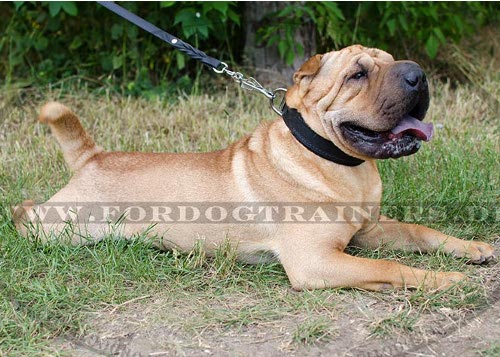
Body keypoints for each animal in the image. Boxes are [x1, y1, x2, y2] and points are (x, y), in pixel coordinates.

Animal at [13, 44, 494, 290]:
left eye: (393, 62)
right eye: (357, 74)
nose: (417, 74)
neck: (335, 161)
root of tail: (92, 156)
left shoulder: (367, 229)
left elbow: (420, 232)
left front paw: (471, 248)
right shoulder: (315, 261)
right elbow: (390, 268)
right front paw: (447, 280)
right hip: (64, 229)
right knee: (25, 215)